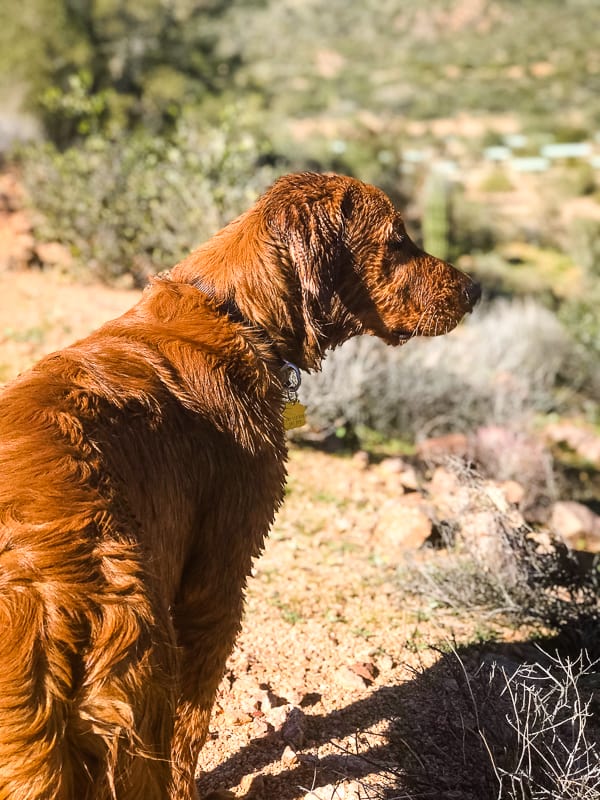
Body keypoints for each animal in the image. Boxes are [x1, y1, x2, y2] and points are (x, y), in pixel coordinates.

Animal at [0, 172, 480, 796]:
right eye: (398, 241)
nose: (475, 289)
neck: (235, 314)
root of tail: (43, 604)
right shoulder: (218, 577)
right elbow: (192, 725)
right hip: (139, 681)